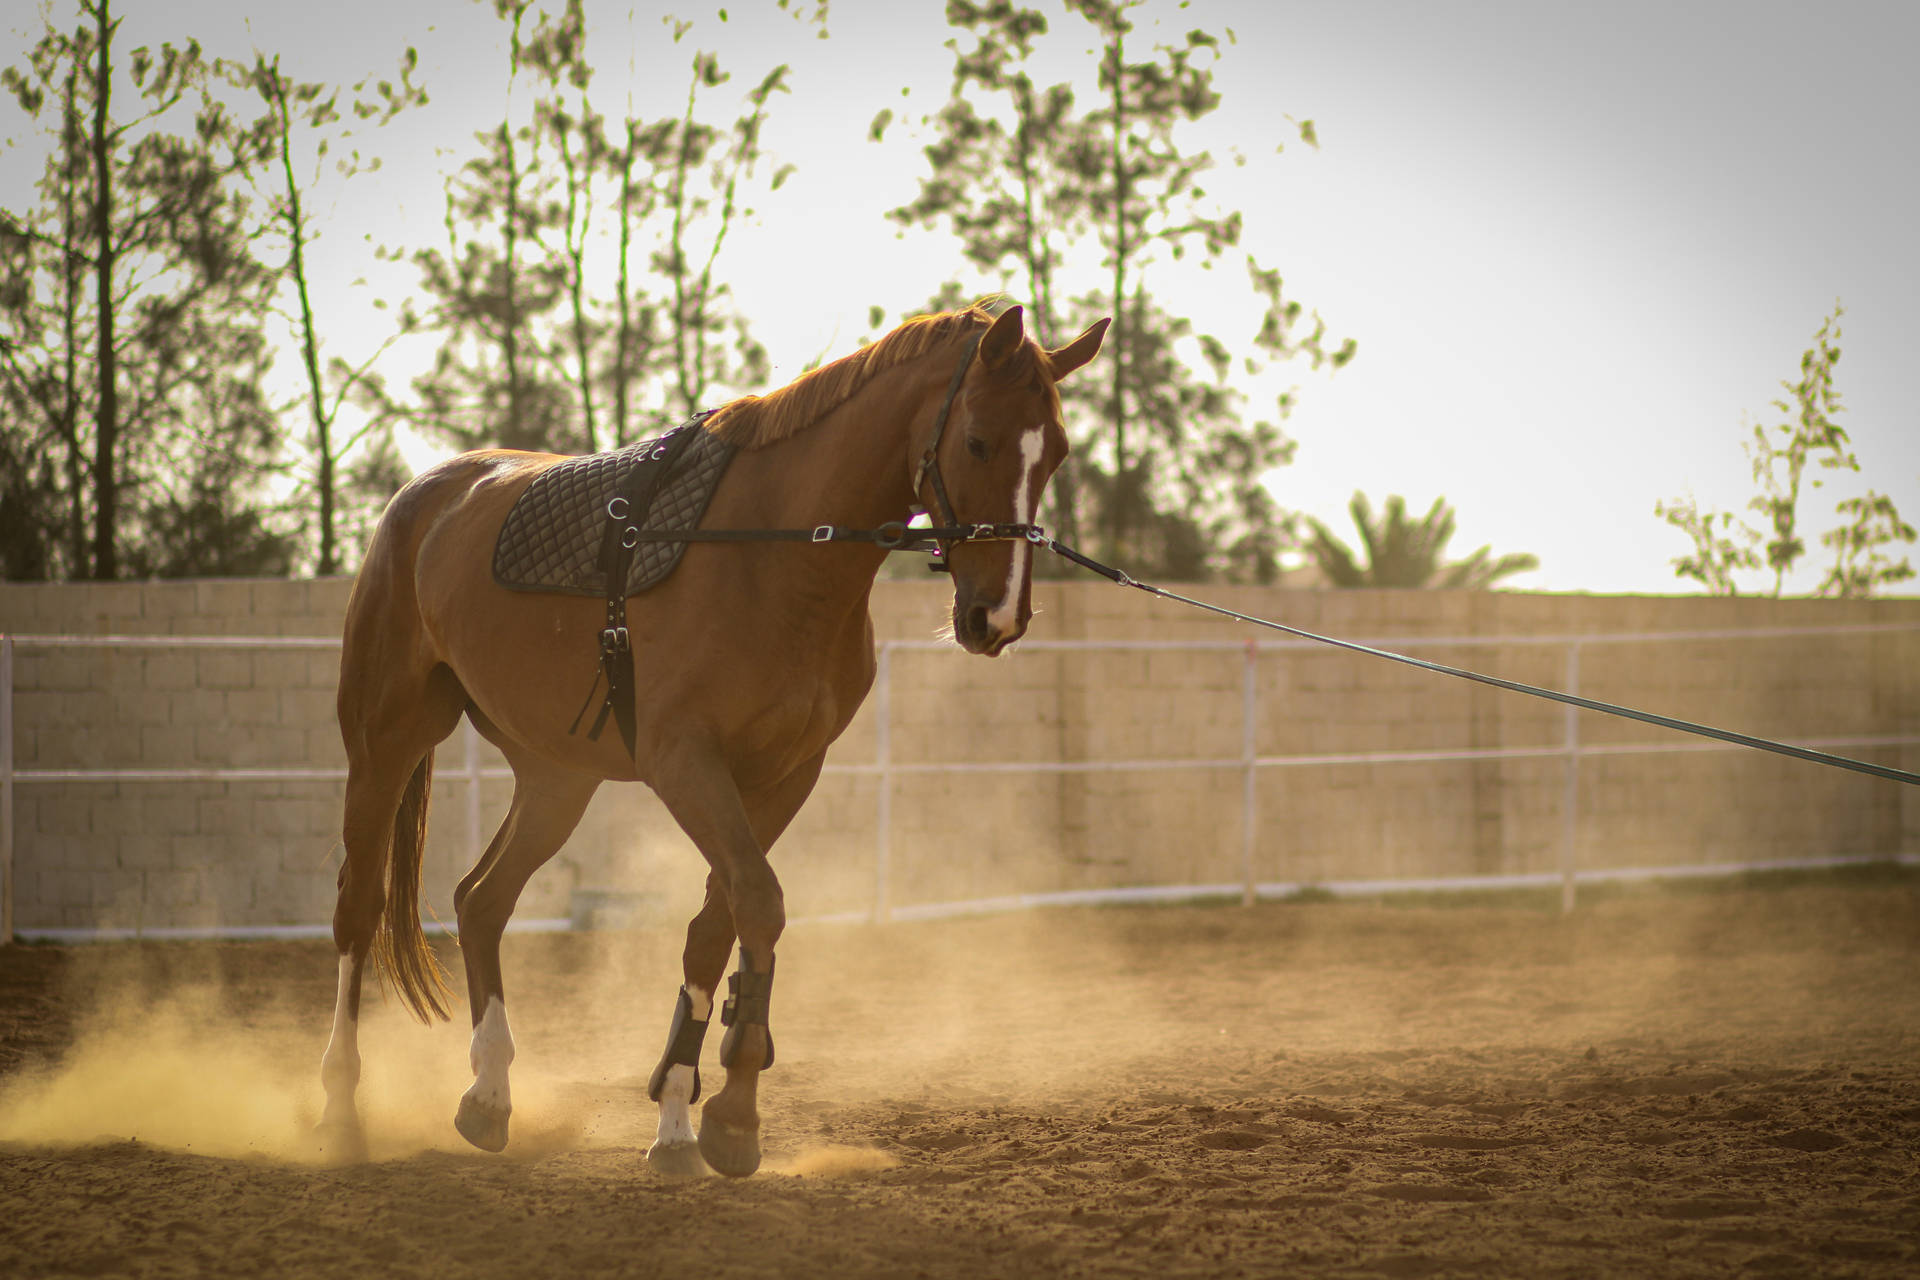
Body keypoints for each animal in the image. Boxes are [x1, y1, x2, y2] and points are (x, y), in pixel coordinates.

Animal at [318, 305, 1113, 1174]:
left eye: (1056, 451)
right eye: (976, 441)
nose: (996, 616)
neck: (771, 553)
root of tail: (425, 498)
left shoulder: (784, 775)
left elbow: (713, 928)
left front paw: (678, 1116)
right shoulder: (685, 764)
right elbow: (758, 904)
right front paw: (732, 1113)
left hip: (557, 780)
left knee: (481, 901)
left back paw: (489, 1096)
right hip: (385, 740)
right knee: (358, 909)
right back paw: (342, 1109)